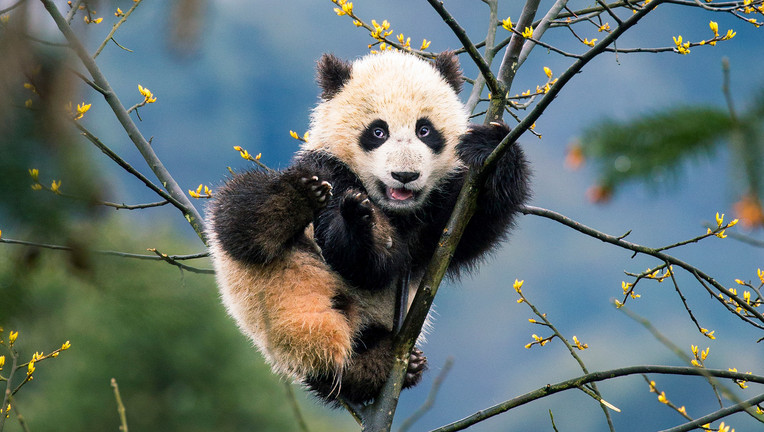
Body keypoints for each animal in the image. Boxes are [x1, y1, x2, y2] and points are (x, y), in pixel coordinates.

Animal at [206, 50, 530, 405]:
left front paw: (491, 145)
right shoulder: (329, 169)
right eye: (378, 132)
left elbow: (469, 228)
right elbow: (360, 265)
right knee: (241, 214)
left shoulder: (437, 214)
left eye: (425, 130)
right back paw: (295, 199)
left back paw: (385, 363)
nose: (404, 175)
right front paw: (359, 224)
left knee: (350, 371)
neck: (393, 208)